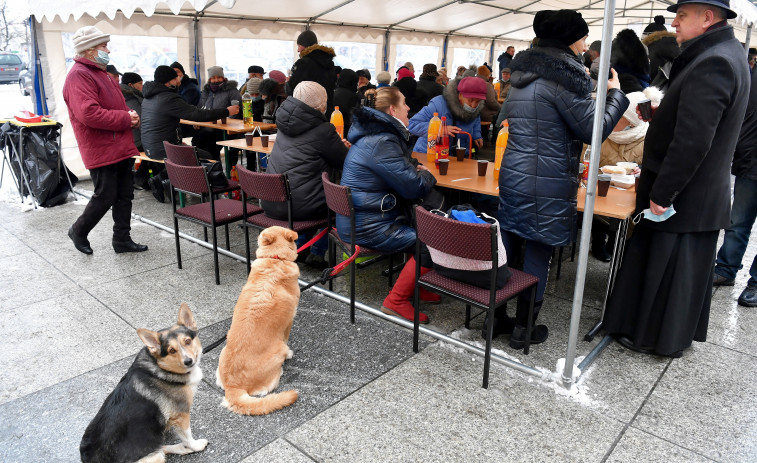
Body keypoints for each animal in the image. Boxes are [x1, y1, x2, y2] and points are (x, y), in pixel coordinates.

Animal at [79, 304, 207, 463]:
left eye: (188, 341)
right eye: (171, 350)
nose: (188, 361)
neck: (160, 367)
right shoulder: (181, 414)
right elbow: (188, 437)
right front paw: (194, 446)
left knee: (161, 447)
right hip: (153, 457)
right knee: (161, 451)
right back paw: (183, 447)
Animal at [216, 227, 298, 416]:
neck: (275, 259)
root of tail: (233, 387)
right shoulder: (289, 322)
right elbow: (287, 339)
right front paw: (291, 353)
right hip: (278, 351)